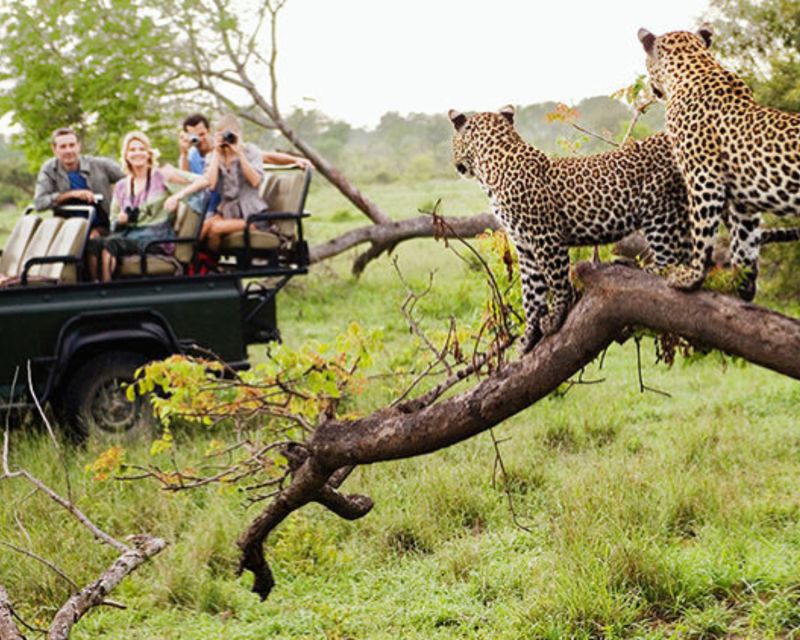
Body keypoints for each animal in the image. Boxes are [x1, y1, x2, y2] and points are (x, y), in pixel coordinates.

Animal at [450, 106, 691, 353]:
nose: (456, 164)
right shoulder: (524, 247)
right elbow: (532, 293)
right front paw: (529, 336)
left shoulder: (545, 236)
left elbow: (557, 281)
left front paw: (555, 317)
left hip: (660, 207)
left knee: (670, 259)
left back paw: (639, 266)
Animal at [638, 26, 800, 300]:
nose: (653, 90)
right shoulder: (744, 202)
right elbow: (745, 244)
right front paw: (741, 287)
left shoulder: (704, 178)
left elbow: (701, 235)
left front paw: (690, 278)